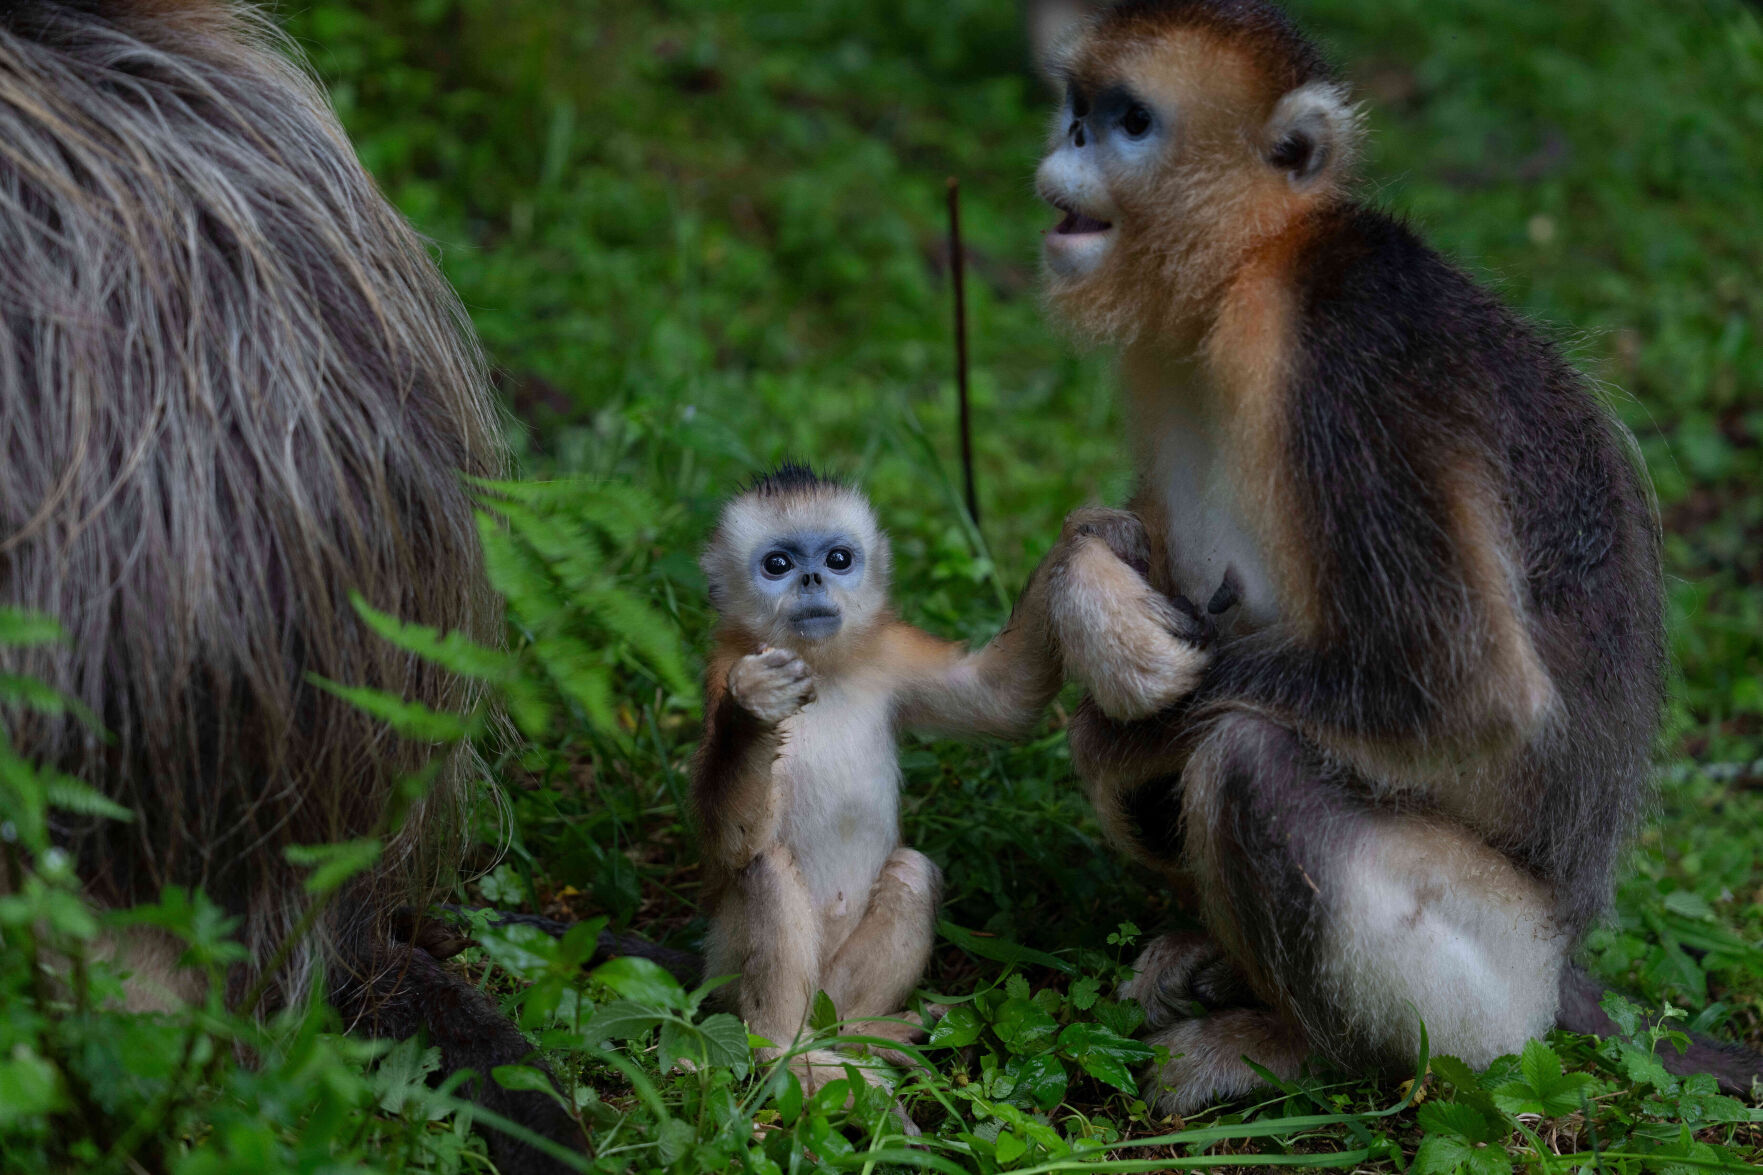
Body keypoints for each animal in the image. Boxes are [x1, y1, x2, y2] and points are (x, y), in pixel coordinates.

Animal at [693, 465, 1064, 1098]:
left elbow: (999, 698)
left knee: (912, 872)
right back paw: (787, 1057)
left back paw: (870, 1036)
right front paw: (756, 709)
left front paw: (1086, 544)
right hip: (726, 973)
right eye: (778, 564)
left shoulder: (890, 651)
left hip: (830, 992)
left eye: (838, 558)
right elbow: (731, 846)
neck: (823, 671)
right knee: (766, 869)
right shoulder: (723, 671)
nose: (813, 578)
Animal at [1027, 0, 1761, 1112]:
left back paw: (1288, 1044)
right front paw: (1093, 597)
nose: (1068, 140)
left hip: (1493, 985)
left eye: (1129, 121)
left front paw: (1111, 737)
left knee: (1250, 759)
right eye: (1077, 106)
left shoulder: (1341, 345)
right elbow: (1120, 533)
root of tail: (1564, 968)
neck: (1253, 263)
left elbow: (1465, 690)